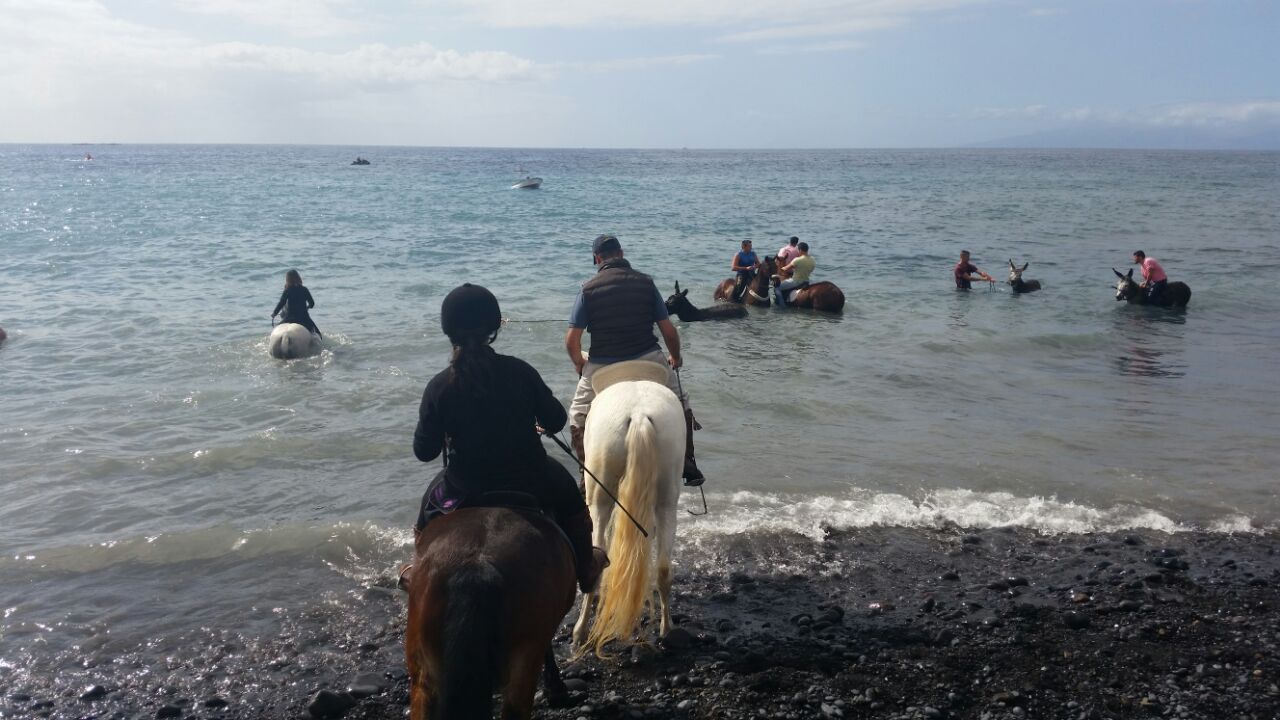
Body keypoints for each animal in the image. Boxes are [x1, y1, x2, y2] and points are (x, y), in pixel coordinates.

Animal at [571, 360, 685, 656]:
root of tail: (639, 415)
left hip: (599, 495)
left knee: (596, 556)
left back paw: (579, 632)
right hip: (667, 493)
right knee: (664, 568)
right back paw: (667, 630)